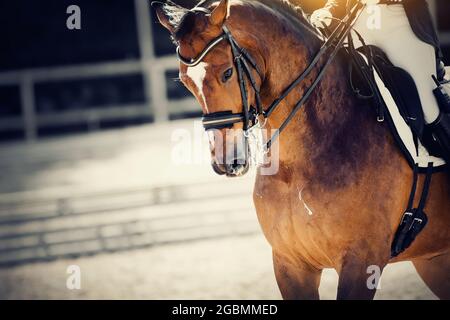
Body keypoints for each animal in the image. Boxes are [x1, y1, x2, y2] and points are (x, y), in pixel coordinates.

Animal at [155, 0, 450, 300]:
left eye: (227, 73)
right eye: (185, 82)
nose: (226, 162)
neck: (295, 163)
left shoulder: (362, 262)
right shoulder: (290, 264)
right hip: (433, 259)